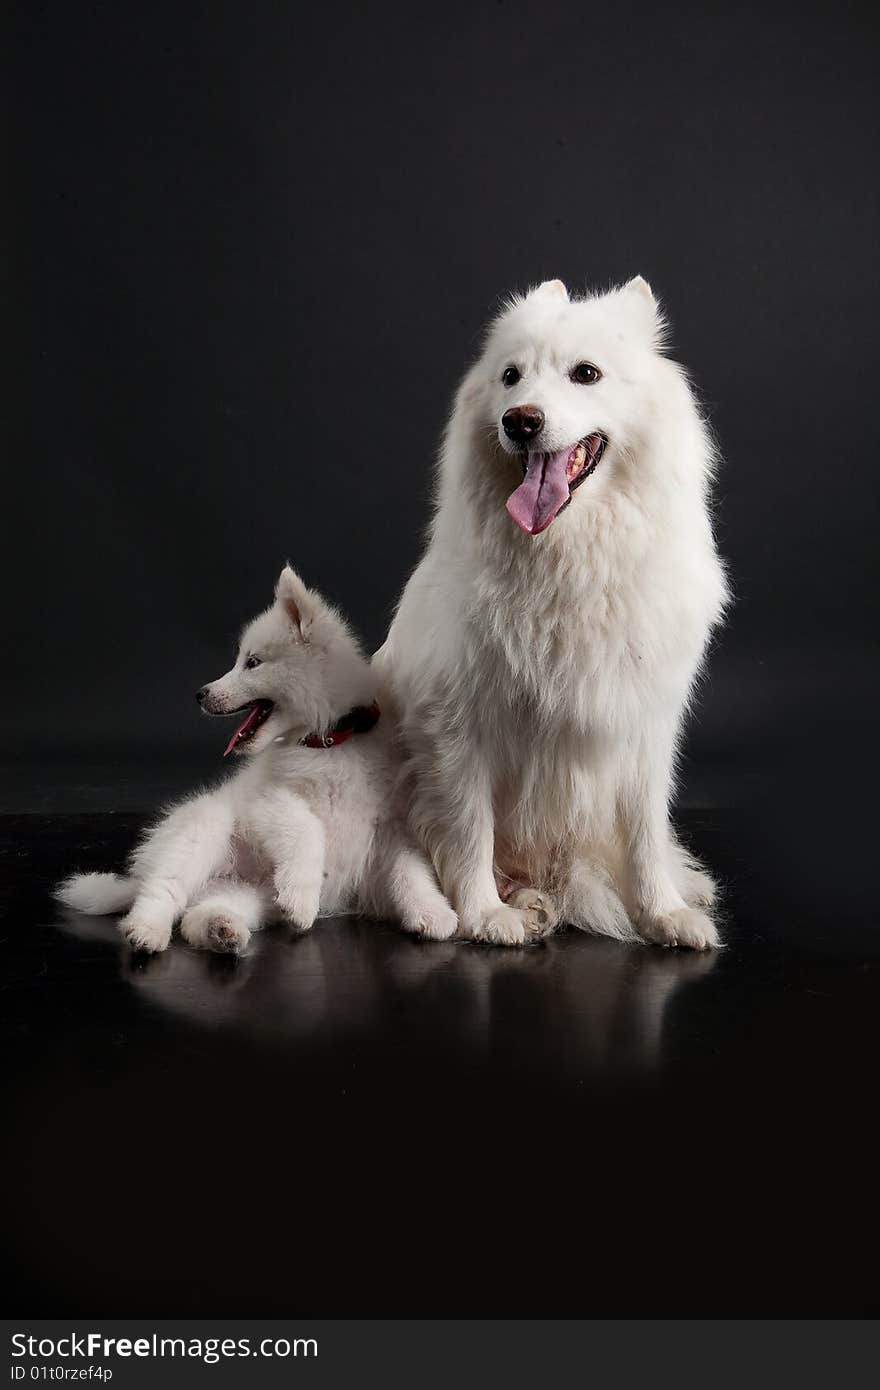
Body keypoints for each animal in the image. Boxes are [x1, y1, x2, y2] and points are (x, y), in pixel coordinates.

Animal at [58, 569, 455, 950]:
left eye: (252, 663)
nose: (200, 694)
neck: (330, 742)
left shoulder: (391, 827)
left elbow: (410, 871)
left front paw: (433, 912)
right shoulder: (267, 802)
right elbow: (307, 828)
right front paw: (301, 899)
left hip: (249, 894)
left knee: (194, 915)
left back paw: (221, 929)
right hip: (203, 830)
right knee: (162, 890)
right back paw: (147, 930)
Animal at [378, 276, 728, 950]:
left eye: (585, 374)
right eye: (511, 377)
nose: (520, 421)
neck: (570, 560)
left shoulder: (646, 724)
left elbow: (646, 833)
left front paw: (662, 913)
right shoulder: (459, 724)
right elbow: (469, 829)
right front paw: (484, 915)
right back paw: (517, 901)